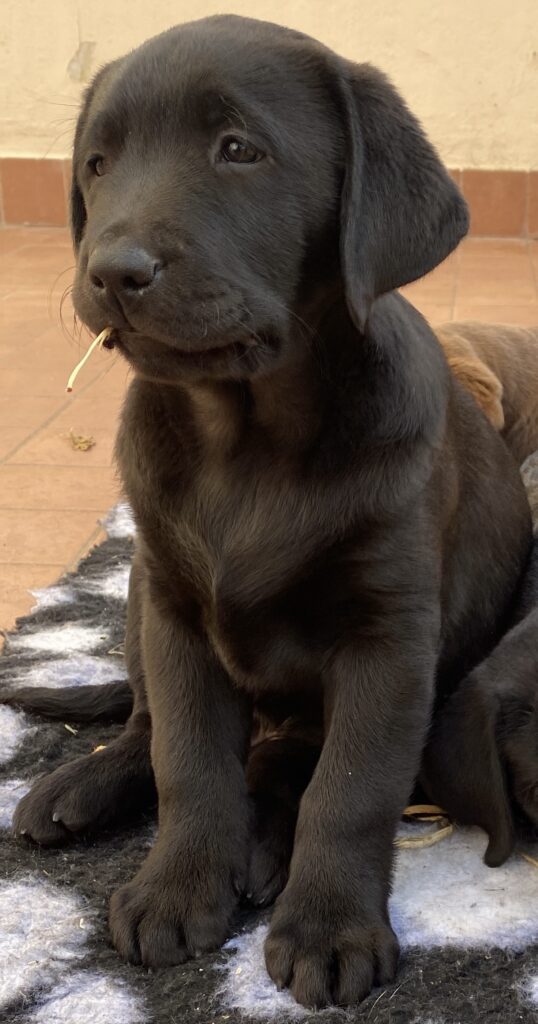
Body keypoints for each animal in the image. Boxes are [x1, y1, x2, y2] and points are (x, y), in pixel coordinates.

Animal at [5, 14, 532, 1007]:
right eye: (97, 164)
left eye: (239, 150)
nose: (112, 270)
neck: (243, 443)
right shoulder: (174, 611)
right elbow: (188, 762)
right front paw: (178, 890)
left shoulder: (388, 637)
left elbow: (350, 789)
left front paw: (329, 928)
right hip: (134, 594)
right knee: (145, 724)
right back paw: (78, 787)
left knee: (288, 759)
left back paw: (261, 846)